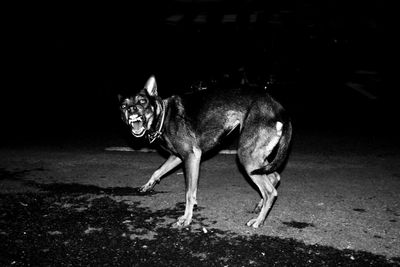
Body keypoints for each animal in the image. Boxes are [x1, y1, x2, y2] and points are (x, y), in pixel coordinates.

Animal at [117, 75, 292, 228]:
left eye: (142, 101)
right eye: (124, 106)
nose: (131, 109)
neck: (163, 115)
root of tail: (278, 107)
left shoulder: (192, 156)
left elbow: (189, 192)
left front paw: (187, 218)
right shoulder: (178, 157)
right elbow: (157, 171)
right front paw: (148, 185)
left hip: (246, 156)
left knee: (270, 191)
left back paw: (259, 220)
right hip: (256, 158)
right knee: (274, 176)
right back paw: (260, 206)